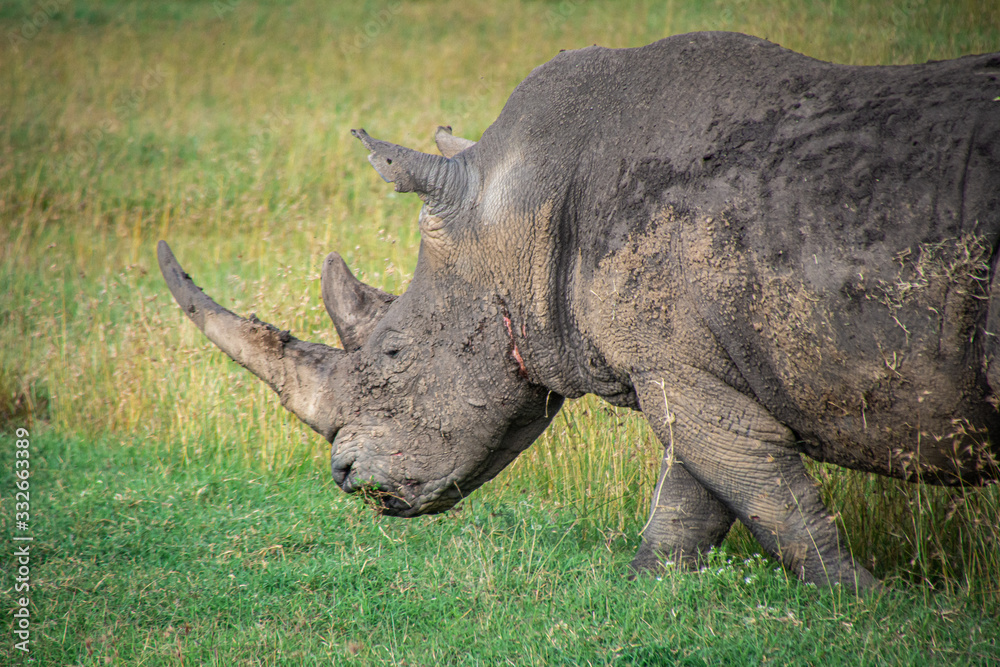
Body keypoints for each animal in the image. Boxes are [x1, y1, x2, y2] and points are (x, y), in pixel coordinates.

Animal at [159, 32, 1000, 591]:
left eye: (394, 351)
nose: (343, 475)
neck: (515, 211)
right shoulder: (684, 362)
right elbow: (703, 486)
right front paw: (649, 591)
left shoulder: (674, 359)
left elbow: (766, 490)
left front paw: (864, 602)